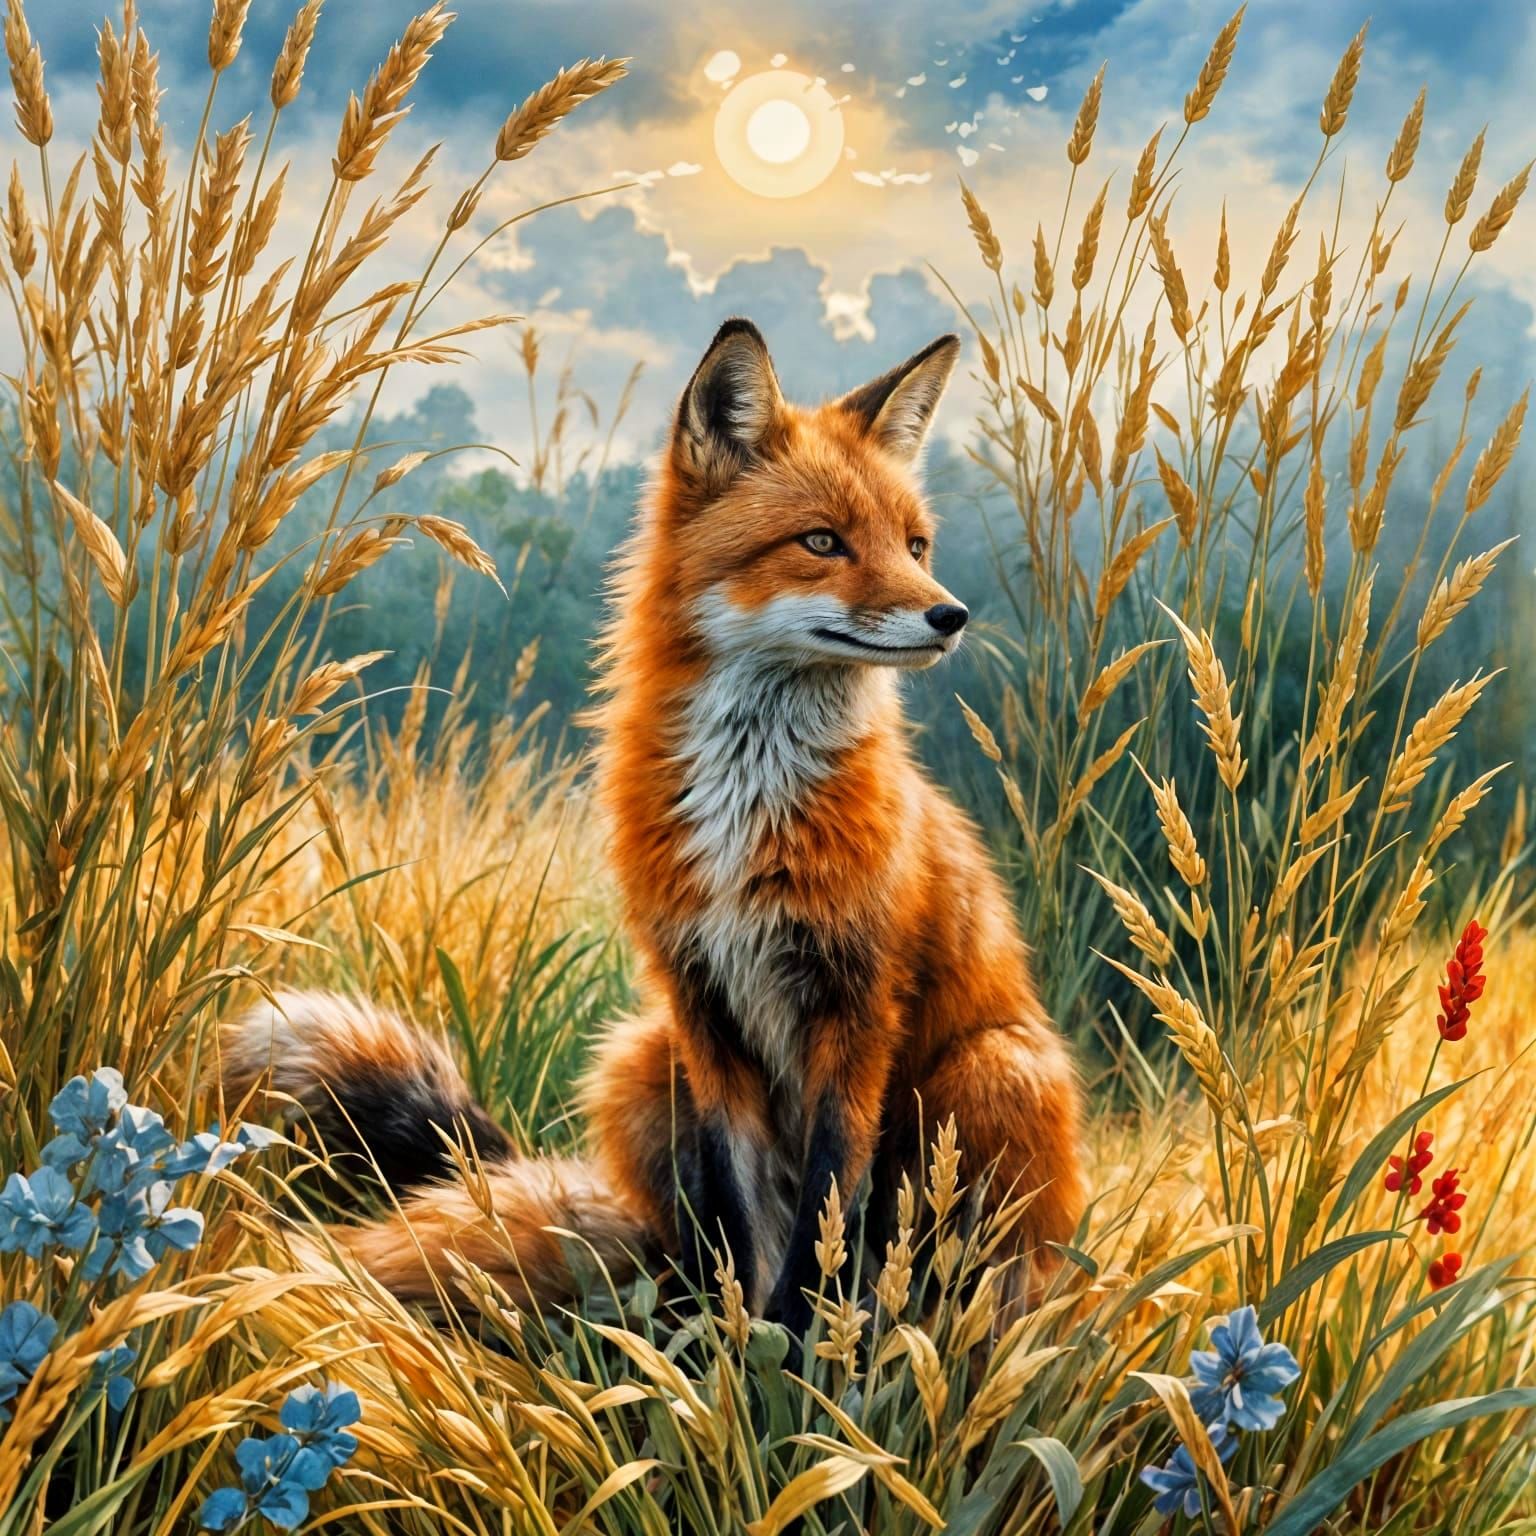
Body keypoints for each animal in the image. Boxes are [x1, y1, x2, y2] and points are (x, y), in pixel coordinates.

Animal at [222, 318, 1086, 1333]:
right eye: (823, 541)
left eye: (915, 544)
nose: (950, 613)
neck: (746, 806)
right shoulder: (700, 1004)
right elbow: (737, 1225)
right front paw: (737, 1350)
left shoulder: (856, 1011)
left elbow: (820, 1224)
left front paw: (798, 1353)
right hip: (641, 1061)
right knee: (677, 1255)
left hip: (996, 1072)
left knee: (963, 1285)